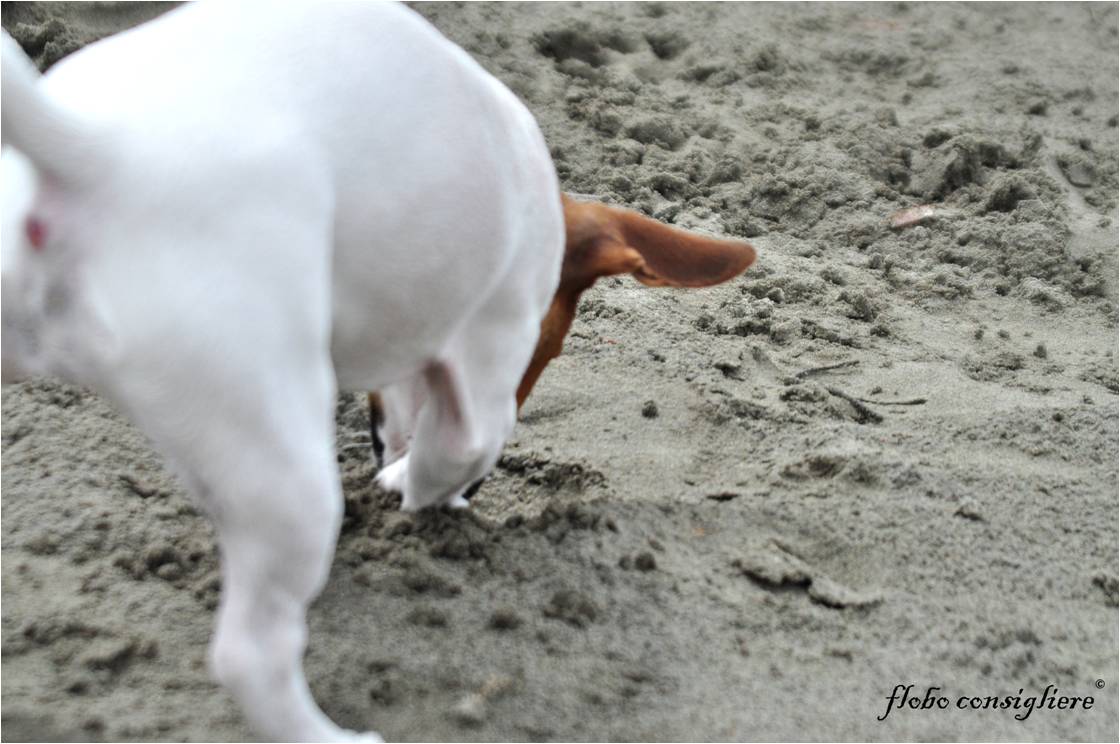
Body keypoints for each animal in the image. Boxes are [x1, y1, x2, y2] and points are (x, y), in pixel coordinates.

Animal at [1, 3, 754, 741]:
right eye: (547, 355)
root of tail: (98, 147)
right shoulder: (484, 386)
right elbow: (443, 457)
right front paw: (420, 490)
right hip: (291, 479)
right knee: (250, 655)